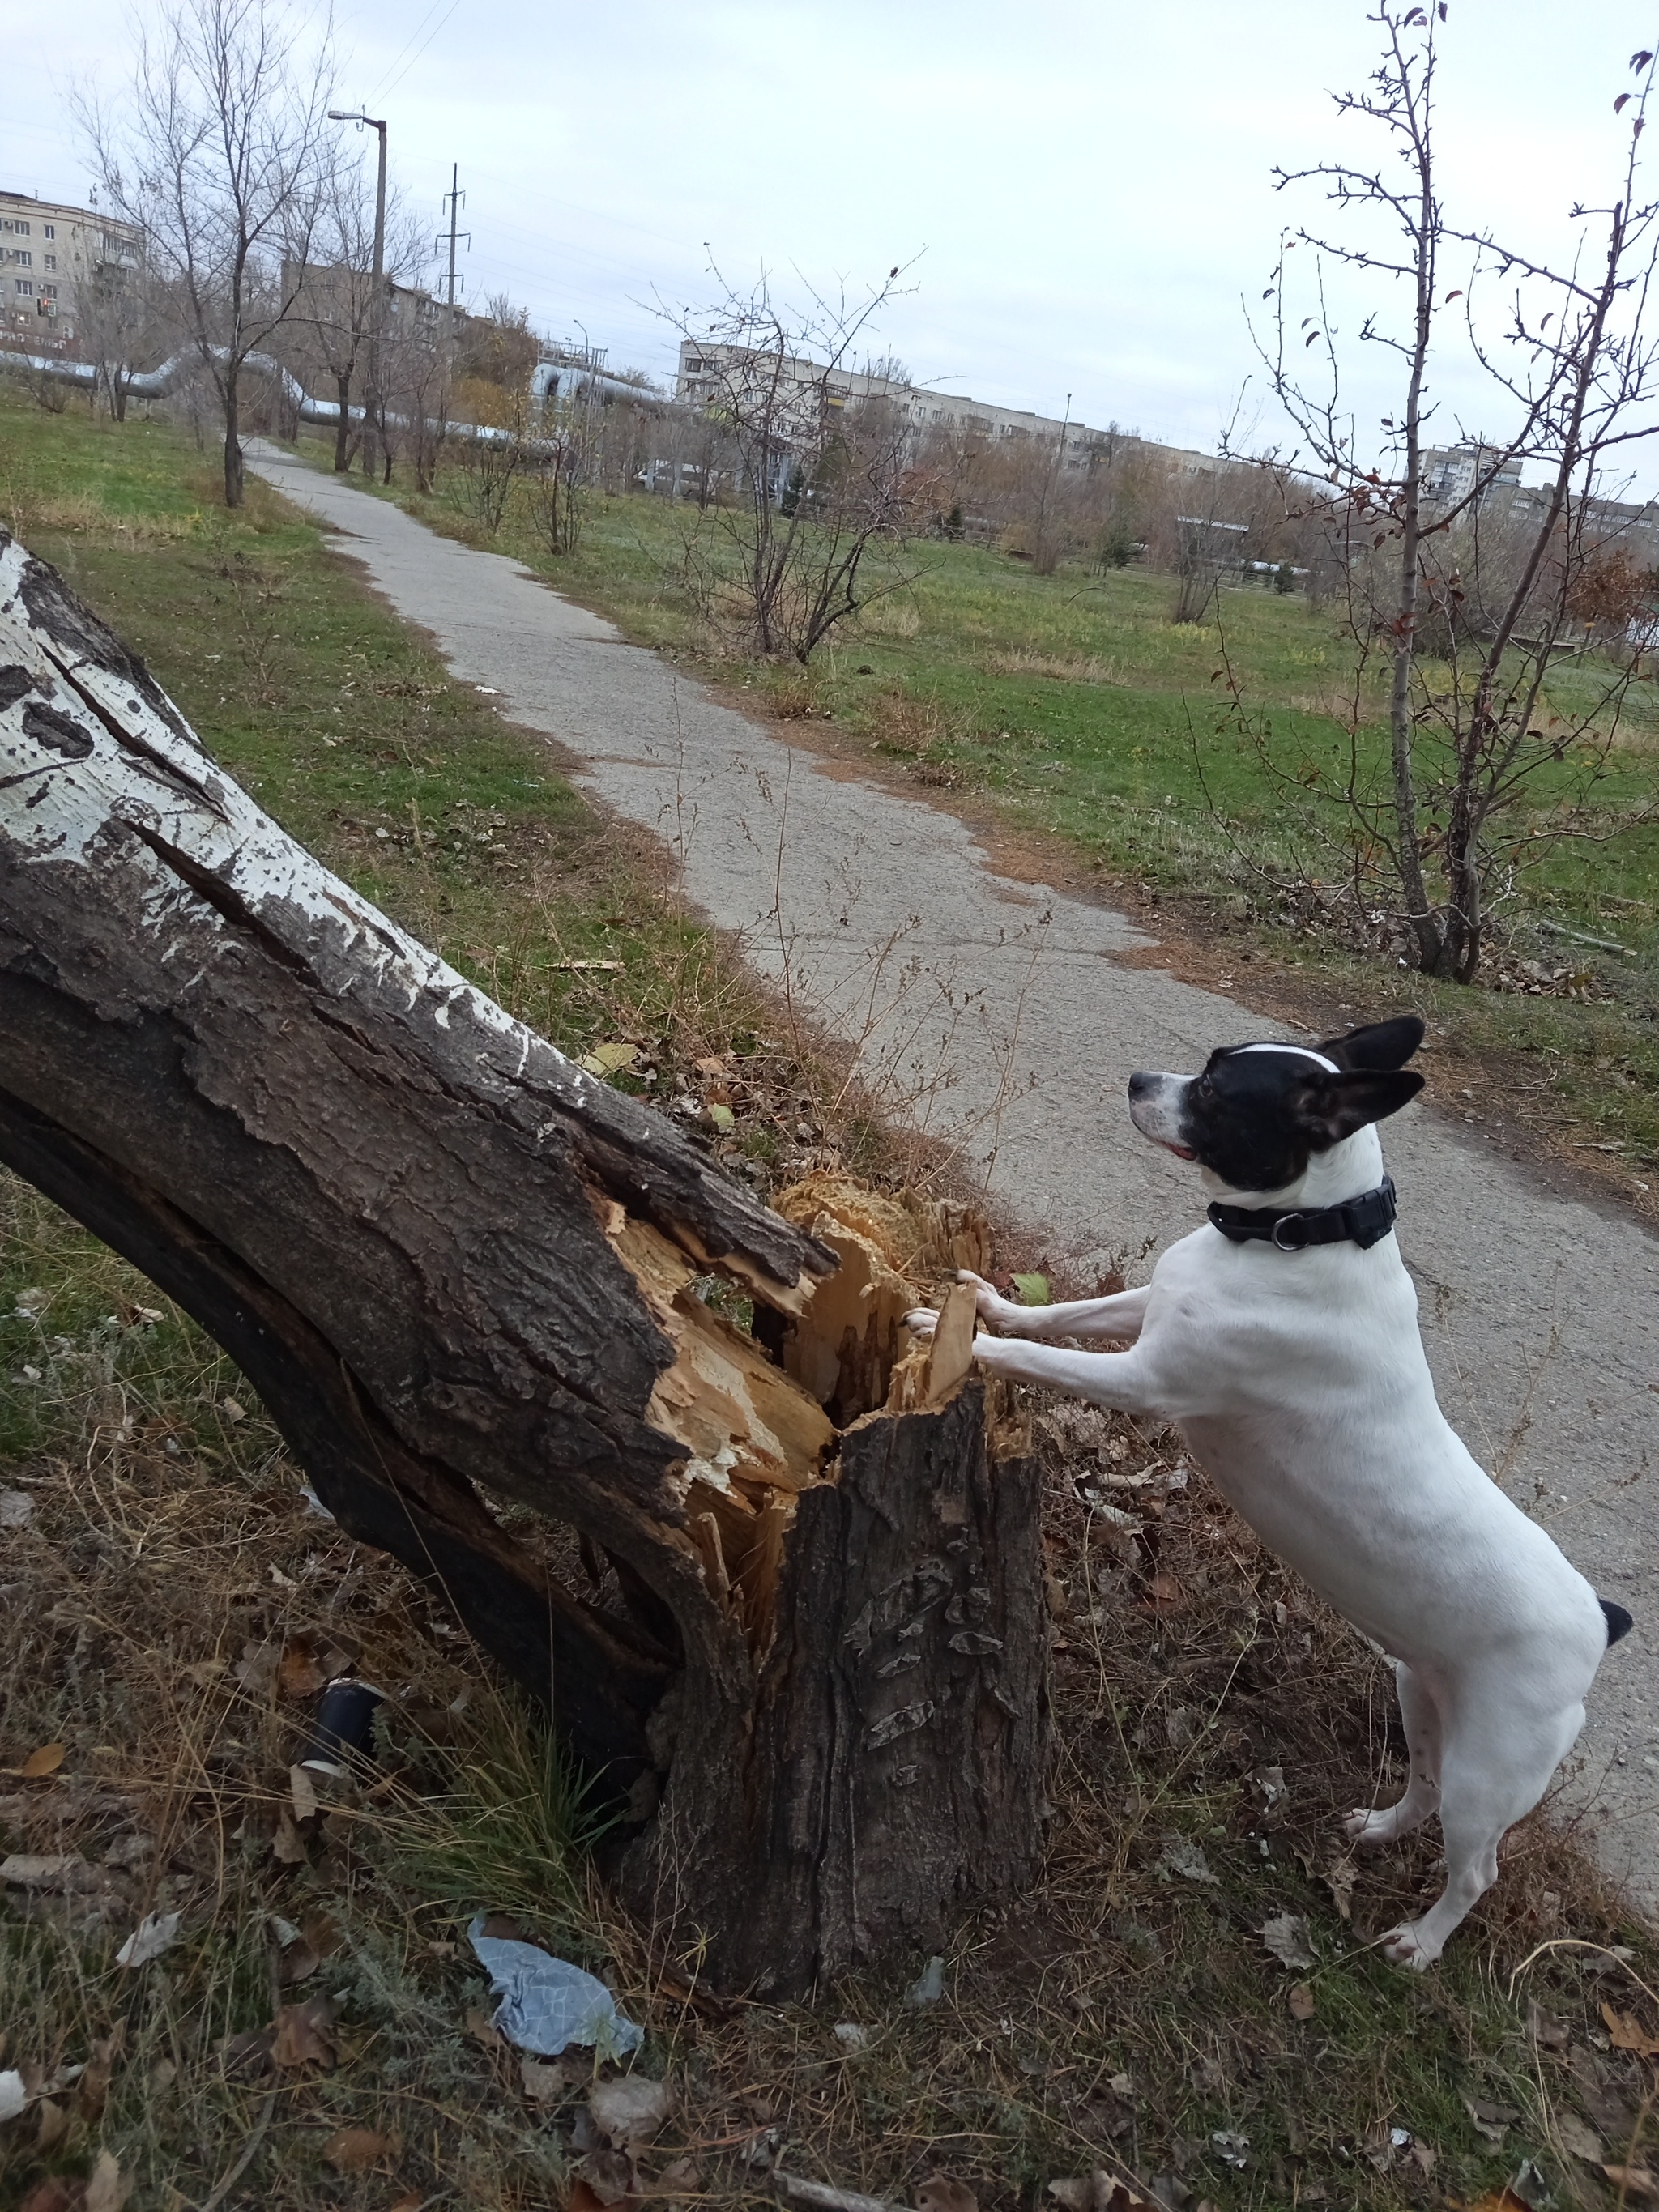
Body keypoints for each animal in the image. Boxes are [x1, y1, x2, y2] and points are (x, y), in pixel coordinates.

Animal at [911, 1017, 1636, 1973]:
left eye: (1218, 1093)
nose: (1138, 1078)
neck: (1303, 1235)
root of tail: (1598, 1620)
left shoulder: (1148, 1380)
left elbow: (1036, 1356)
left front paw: (951, 1335)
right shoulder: (1143, 1312)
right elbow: (1061, 1317)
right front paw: (991, 1302)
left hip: (1492, 1770)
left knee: (1475, 1868)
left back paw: (1420, 1941)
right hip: (1422, 1696)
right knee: (1422, 1784)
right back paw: (1376, 1828)